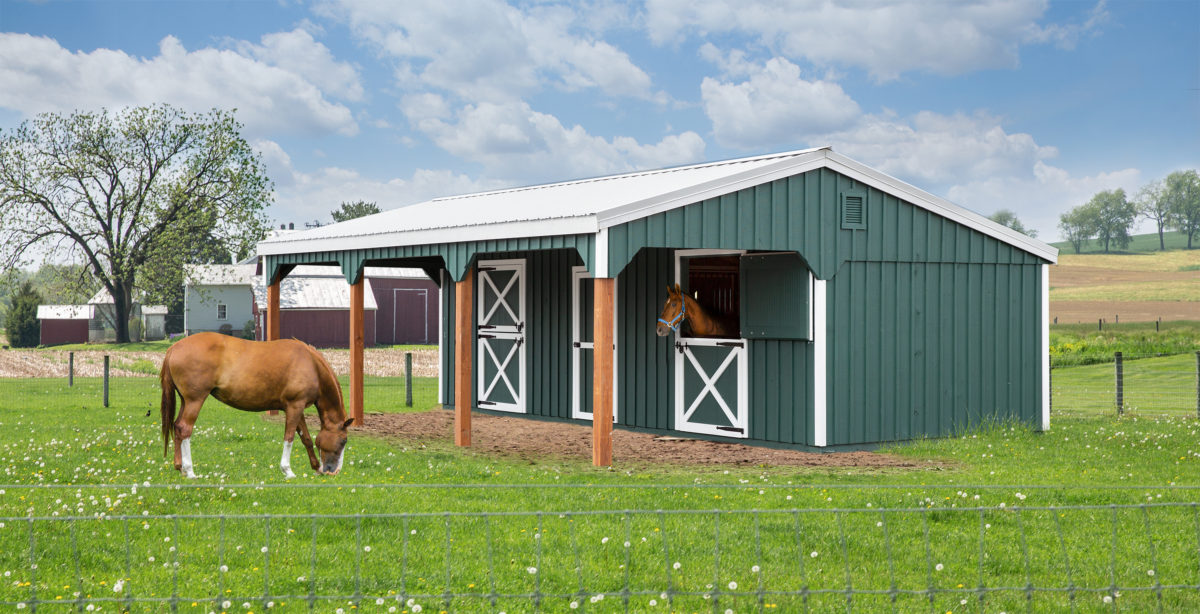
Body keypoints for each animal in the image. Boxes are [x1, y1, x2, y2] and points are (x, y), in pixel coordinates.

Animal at [158, 330, 350, 479]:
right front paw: (287, 470)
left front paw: (315, 467)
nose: (334, 471)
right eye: (343, 441)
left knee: (177, 427)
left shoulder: (297, 408)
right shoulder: (295, 406)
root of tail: (174, 348)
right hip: (195, 400)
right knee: (185, 428)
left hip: (185, 400)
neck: (311, 364)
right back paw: (190, 471)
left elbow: (306, 438)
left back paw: (180, 467)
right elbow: (289, 438)